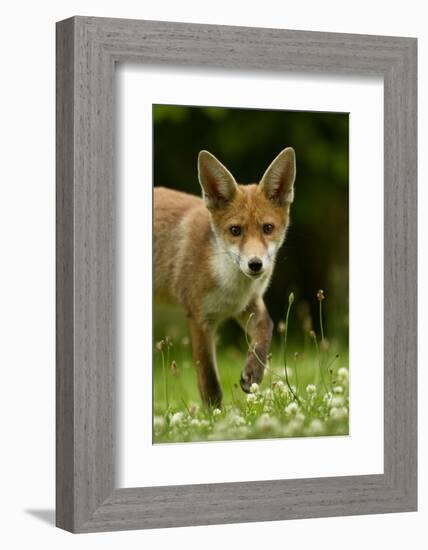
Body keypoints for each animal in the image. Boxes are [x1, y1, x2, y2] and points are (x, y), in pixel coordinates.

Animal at [155, 149, 298, 408]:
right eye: (235, 231)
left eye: (268, 228)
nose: (255, 264)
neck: (231, 287)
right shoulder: (199, 319)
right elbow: (209, 382)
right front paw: (215, 416)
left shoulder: (247, 304)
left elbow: (267, 328)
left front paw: (254, 372)